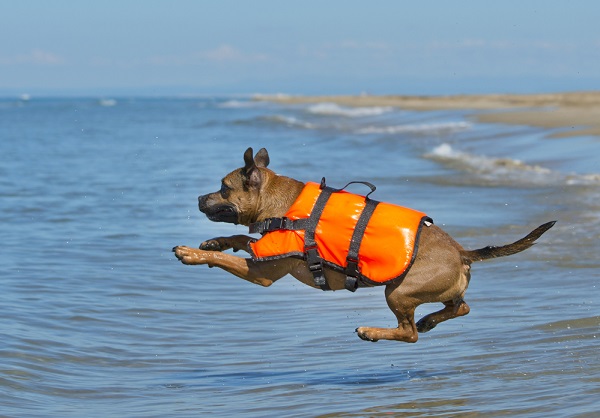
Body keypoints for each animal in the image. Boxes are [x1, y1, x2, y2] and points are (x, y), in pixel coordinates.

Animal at [172, 147, 552, 342]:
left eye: (223, 188)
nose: (199, 198)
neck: (280, 203)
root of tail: (460, 252)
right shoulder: (261, 249)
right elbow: (240, 238)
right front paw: (215, 241)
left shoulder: (260, 272)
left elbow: (230, 257)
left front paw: (193, 253)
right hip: (439, 290)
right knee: (461, 308)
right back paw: (430, 320)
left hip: (398, 292)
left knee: (409, 333)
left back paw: (373, 330)